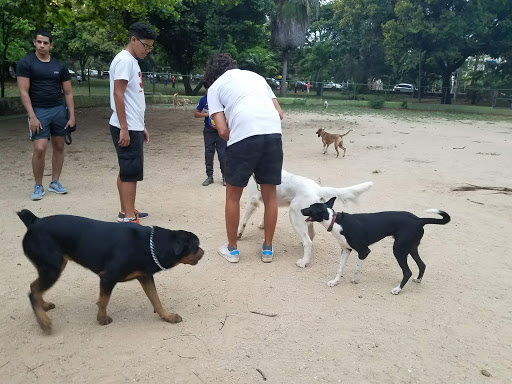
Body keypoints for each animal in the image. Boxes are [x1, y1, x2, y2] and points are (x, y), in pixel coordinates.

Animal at [16, 208, 204, 332]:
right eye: (196, 247)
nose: (203, 252)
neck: (149, 245)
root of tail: (34, 222)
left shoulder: (145, 277)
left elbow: (156, 300)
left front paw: (167, 317)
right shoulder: (108, 277)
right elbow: (105, 300)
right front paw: (102, 318)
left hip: (51, 267)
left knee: (34, 288)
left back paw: (44, 307)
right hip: (52, 268)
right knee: (33, 291)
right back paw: (44, 322)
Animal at [302, 198, 450, 294]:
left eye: (310, 208)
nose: (301, 209)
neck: (336, 221)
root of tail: (419, 220)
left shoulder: (364, 251)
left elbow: (356, 268)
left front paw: (355, 280)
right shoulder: (345, 250)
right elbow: (340, 268)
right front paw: (335, 282)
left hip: (399, 250)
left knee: (407, 272)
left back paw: (397, 289)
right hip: (411, 248)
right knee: (422, 265)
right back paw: (418, 280)